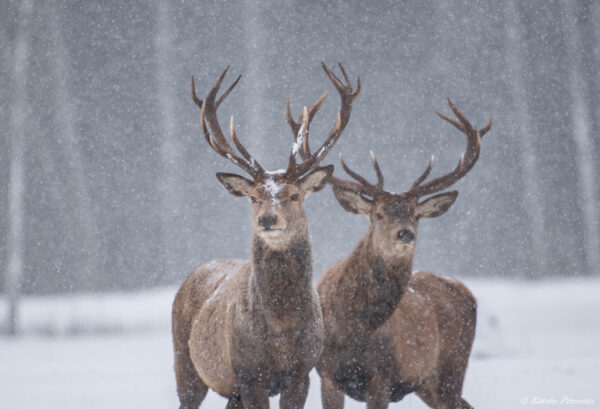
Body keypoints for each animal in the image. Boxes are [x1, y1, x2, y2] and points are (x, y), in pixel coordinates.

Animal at [172, 63, 360, 408]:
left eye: (295, 195)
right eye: (253, 197)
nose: (268, 219)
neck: (282, 332)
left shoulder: (301, 373)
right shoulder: (249, 374)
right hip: (185, 362)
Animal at [290, 97, 492, 406]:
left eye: (415, 215)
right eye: (379, 213)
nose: (405, 233)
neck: (354, 328)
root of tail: (467, 292)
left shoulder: (382, 375)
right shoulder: (327, 374)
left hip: (452, 367)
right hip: (427, 384)